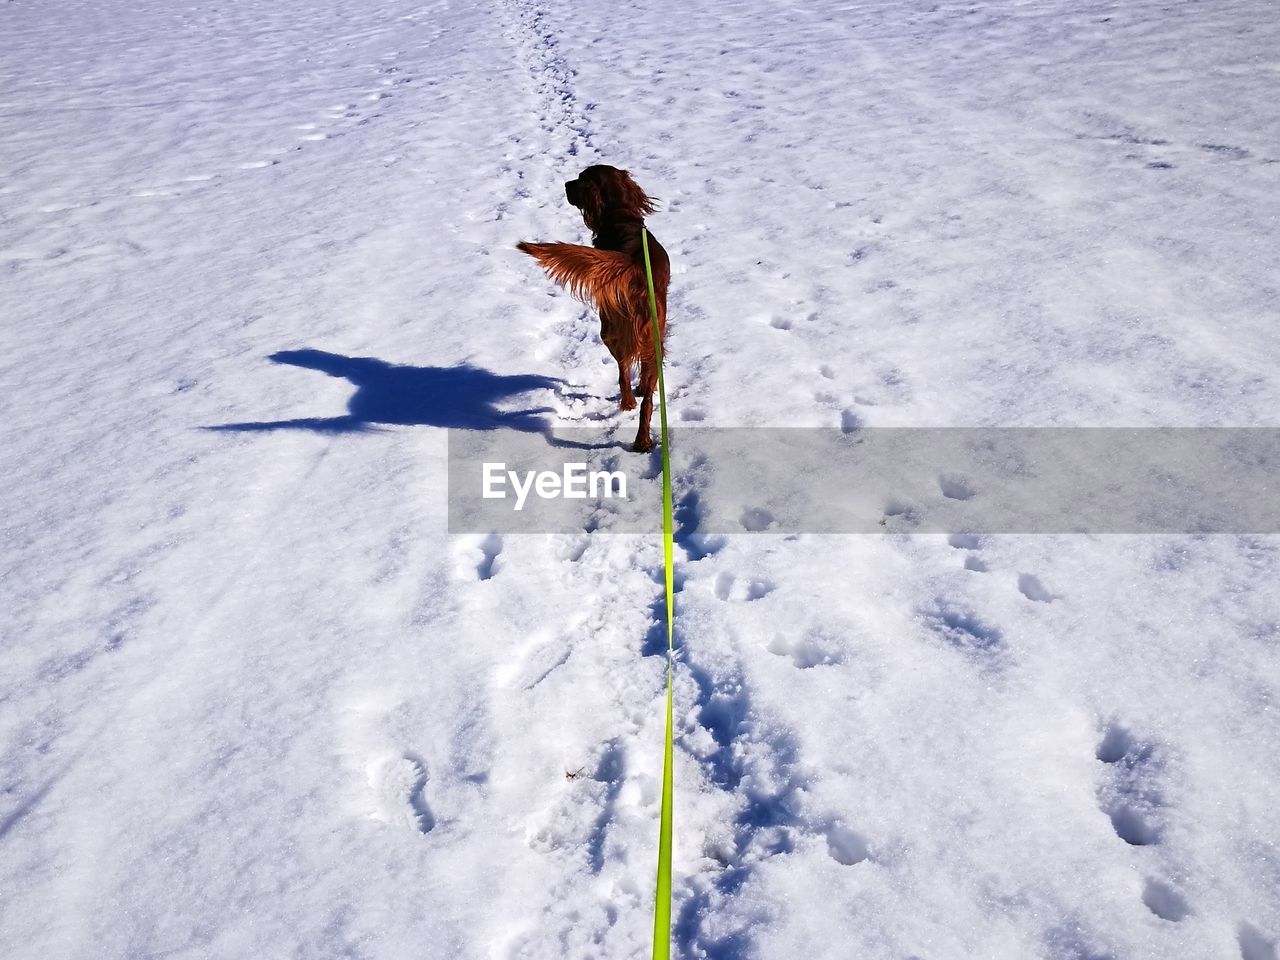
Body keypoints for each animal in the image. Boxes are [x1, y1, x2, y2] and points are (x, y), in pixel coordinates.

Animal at [514, 165, 670, 450]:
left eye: (579, 180)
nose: (566, 184)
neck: (622, 220)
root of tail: (634, 265)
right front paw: (643, 388)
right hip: (643, 331)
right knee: (641, 388)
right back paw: (640, 433)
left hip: (611, 329)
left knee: (624, 371)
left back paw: (632, 412)